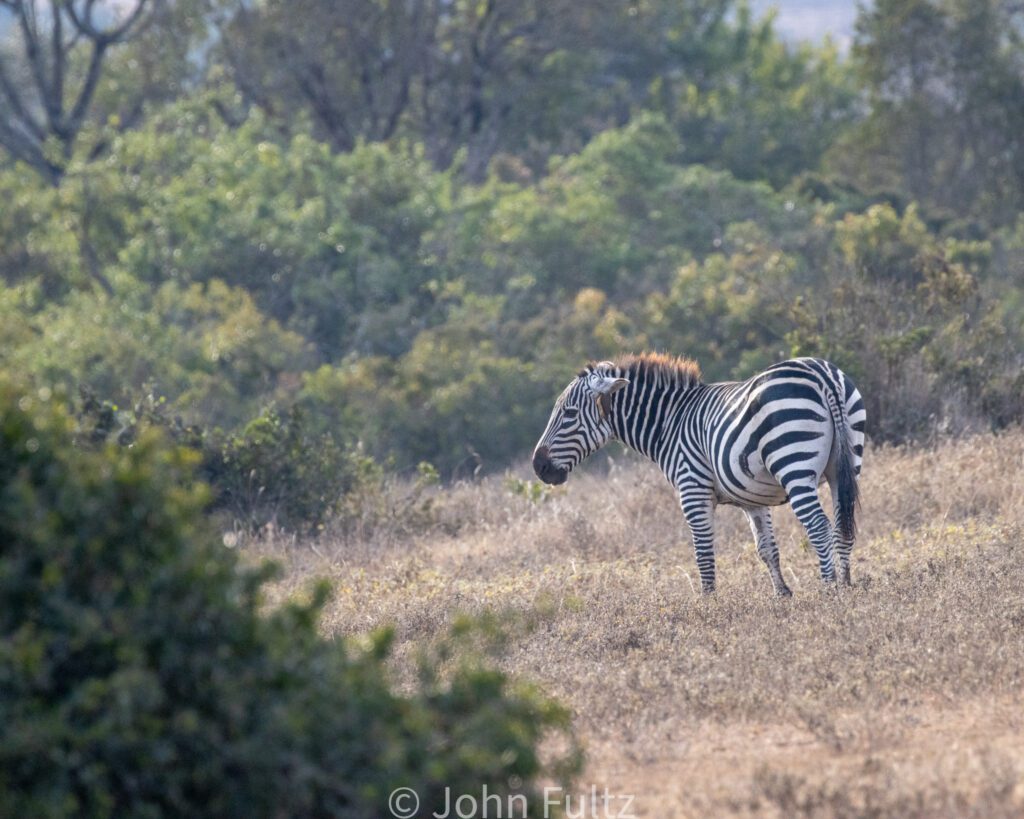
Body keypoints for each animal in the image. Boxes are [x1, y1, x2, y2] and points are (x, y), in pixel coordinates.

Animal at [532, 352, 868, 593]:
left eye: (569, 414)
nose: (539, 467)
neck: (670, 422)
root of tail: (820, 373)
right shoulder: (753, 498)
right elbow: (767, 549)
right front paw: (782, 596)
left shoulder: (692, 490)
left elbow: (703, 555)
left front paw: (709, 605)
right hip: (844, 466)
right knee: (842, 526)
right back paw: (846, 586)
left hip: (794, 463)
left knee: (819, 527)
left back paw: (829, 590)